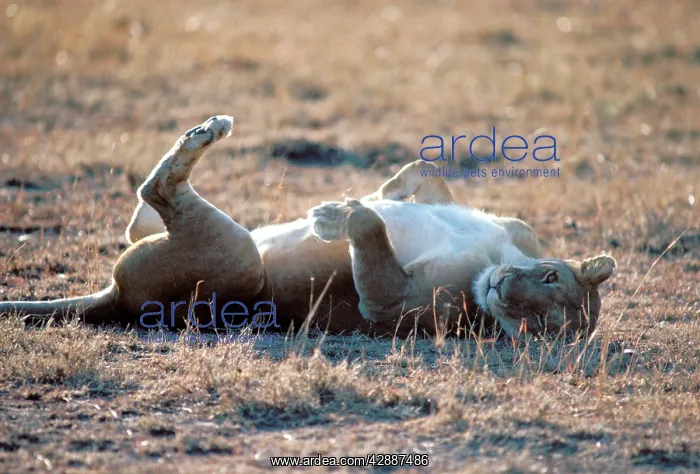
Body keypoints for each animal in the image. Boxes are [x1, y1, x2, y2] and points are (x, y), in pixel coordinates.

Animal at [0, 116, 616, 338]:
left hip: (239, 263)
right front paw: (386, 190)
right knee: (138, 215)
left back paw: (208, 135)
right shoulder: (517, 229)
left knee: (156, 193)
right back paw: (206, 130)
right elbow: (424, 175)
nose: (505, 292)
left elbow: (369, 231)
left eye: (538, 328)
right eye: (551, 279)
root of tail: (117, 299)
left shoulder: (397, 308)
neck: (491, 261)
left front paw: (334, 216)